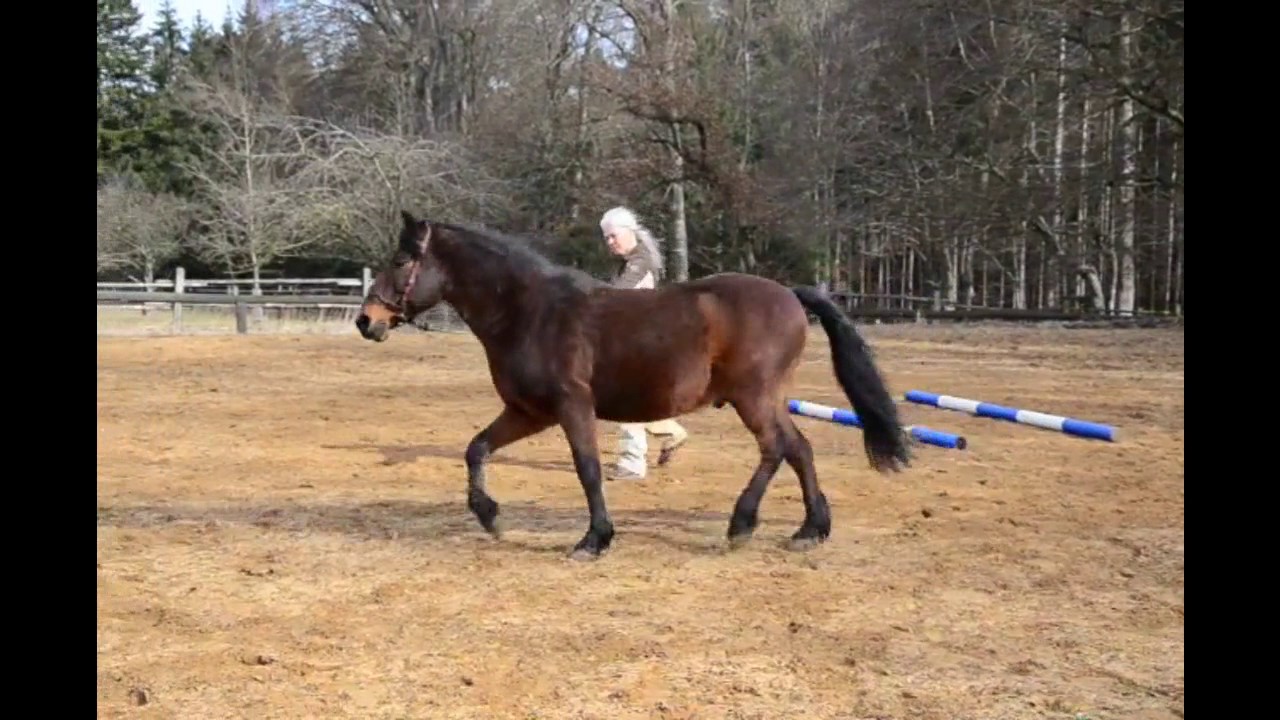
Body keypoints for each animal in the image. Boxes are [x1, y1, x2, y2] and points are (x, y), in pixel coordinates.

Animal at [354, 210, 912, 561]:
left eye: (401, 261)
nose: (366, 320)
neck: (529, 311)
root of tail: (791, 295)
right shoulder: (529, 412)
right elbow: (476, 449)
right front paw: (490, 516)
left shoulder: (571, 407)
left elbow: (587, 471)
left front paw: (594, 540)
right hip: (767, 400)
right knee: (800, 449)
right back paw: (810, 530)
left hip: (754, 398)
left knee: (777, 449)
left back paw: (742, 524)